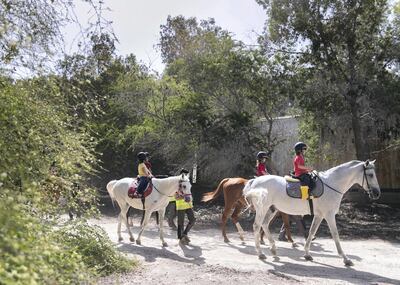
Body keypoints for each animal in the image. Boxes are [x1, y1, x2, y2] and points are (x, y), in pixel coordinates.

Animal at [244, 159, 382, 266]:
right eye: (370, 175)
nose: (377, 193)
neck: (332, 184)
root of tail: (254, 181)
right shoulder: (329, 215)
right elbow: (335, 235)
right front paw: (345, 258)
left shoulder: (319, 215)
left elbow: (311, 232)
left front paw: (307, 254)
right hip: (263, 209)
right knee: (257, 226)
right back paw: (261, 253)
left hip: (271, 209)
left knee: (265, 224)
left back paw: (272, 249)